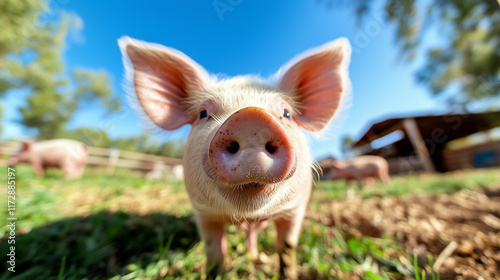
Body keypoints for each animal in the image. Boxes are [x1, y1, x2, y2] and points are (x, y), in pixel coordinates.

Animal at [119, 35, 352, 278]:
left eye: (287, 113)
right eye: (203, 113)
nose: (251, 117)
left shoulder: (295, 211)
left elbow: (287, 249)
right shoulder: (204, 215)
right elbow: (214, 253)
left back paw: (255, 258)